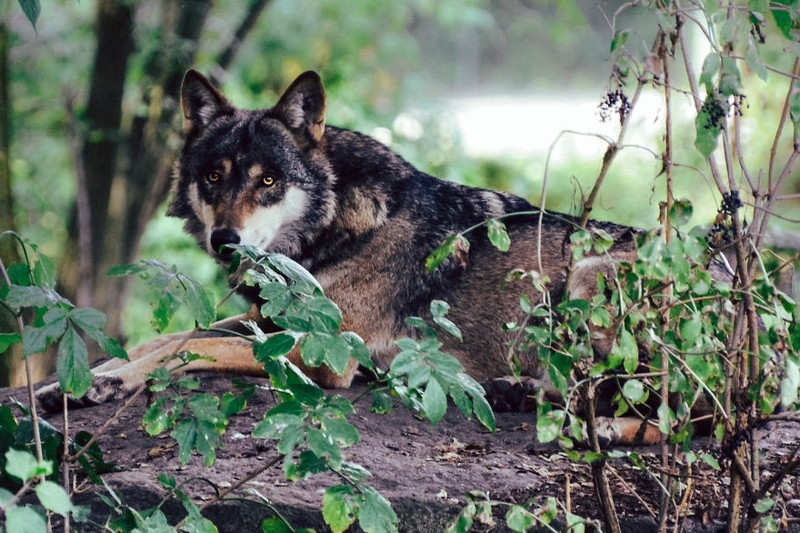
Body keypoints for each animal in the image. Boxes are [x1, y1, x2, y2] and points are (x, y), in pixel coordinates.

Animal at [36, 70, 664, 442]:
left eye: (268, 181)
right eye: (214, 177)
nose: (225, 241)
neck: (337, 229)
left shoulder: (325, 356)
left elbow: (187, 348)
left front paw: (109, 383)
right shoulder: (266, 323)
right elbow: (168, 339)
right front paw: (91, 379)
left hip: (592, 277)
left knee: (665, 416)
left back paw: (605, 430)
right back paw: (515, 392)